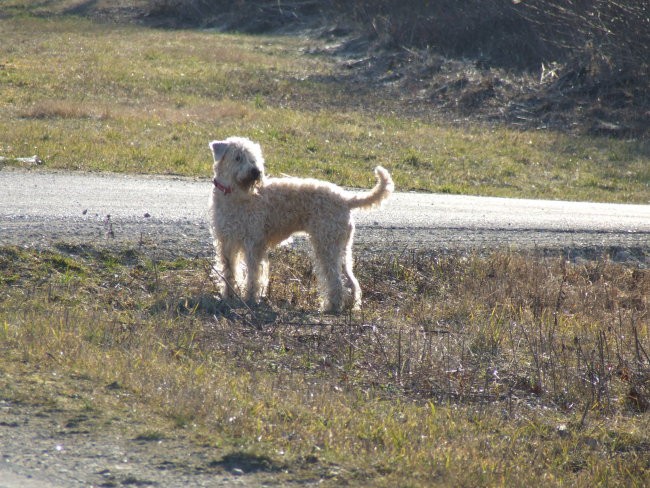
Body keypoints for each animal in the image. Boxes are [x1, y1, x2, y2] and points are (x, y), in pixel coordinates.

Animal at [208, 137, 392, 312]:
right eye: (238, 157)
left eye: (254, 158)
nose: (256, 171)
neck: (233, 194)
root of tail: (346, 199)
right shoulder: (227, 241)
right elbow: (229, 271)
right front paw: (228, 296)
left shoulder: (253, 243)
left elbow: (254, 275)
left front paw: (250, 299)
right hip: (341, 246)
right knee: (350, 280)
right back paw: (351, 305)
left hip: (326, 244)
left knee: (335, 280)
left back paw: (331, 307)